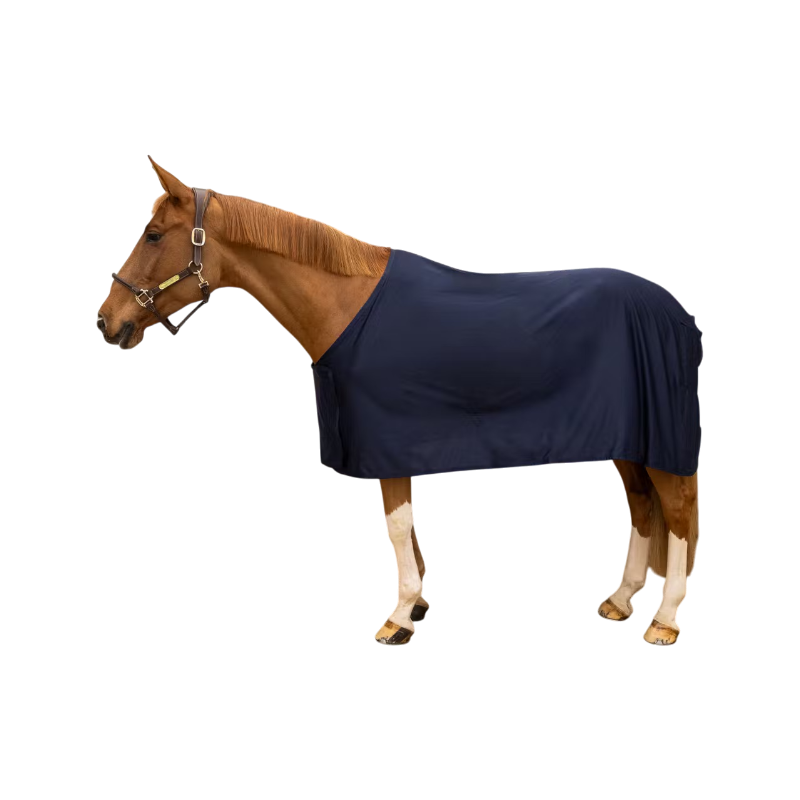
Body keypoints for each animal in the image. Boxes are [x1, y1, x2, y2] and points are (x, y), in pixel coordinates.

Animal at [97, 157, 701, 647]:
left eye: (154, 235)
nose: (107, 322)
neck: (349, 305)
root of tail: (675, 313)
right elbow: (406, 527)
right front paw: (418, 606)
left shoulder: (387, 441)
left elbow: (395, 524)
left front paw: (399, 616)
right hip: (627, 439)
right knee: (642, 507)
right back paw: (620, 601)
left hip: (660, 441)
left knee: (675, 511)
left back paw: (664, 621)